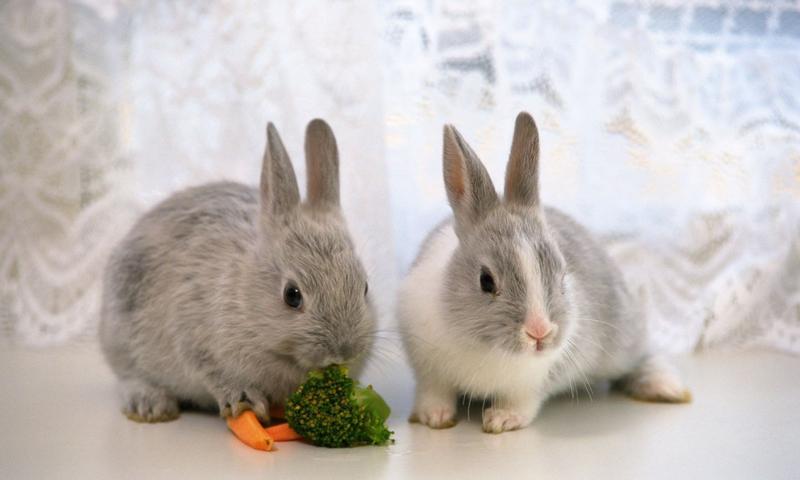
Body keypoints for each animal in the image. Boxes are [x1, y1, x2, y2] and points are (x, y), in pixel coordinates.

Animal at [99, 119, 376, 423]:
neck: (244, 300)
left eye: (364, 287)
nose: (342, 352)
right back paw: (151, 406)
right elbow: (215, 374)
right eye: (292, 295)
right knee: (129, 375)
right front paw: (245, 402)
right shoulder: (194, 337)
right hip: (121, 333)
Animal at [398, 112, 690, 434]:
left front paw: (502, 419)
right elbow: (434, 393)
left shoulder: (529, 384)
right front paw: (434, 417)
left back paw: (666, 387)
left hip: (623, 339)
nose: (540, 332)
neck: (484, 347)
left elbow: (521, 404)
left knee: (643, 356)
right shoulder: (429, 371)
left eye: (563, 276)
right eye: (486, 281)